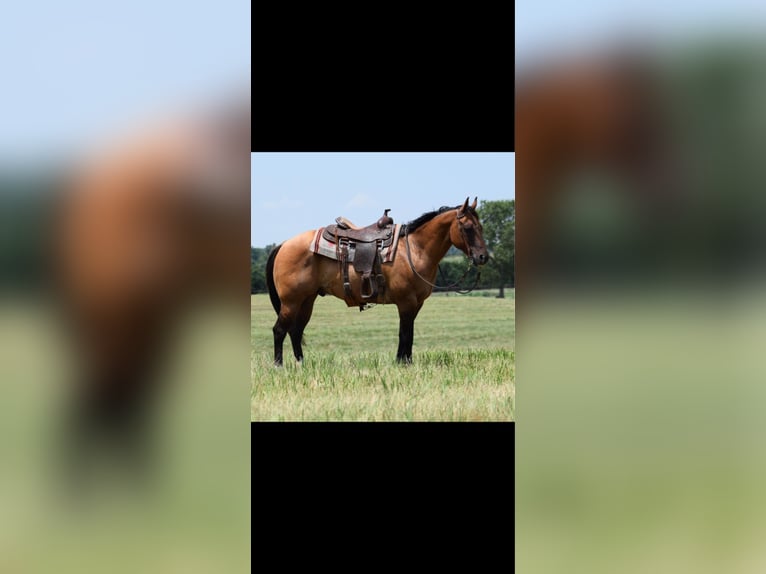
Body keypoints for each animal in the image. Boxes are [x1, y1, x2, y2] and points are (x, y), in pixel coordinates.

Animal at [265, 197, 489, 365]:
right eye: (468, 228)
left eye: (481, 227)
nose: (482, 257)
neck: (415, 249)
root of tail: (283, 245)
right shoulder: (406, 302)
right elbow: (405, 333)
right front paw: (402, 363)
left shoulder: (417, 304)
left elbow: (409, 333)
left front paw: (406, 361)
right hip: (291, 302)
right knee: (279, 330)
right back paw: (279, 365)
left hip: (307, 300)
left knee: (296, 331)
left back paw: (301, 363)